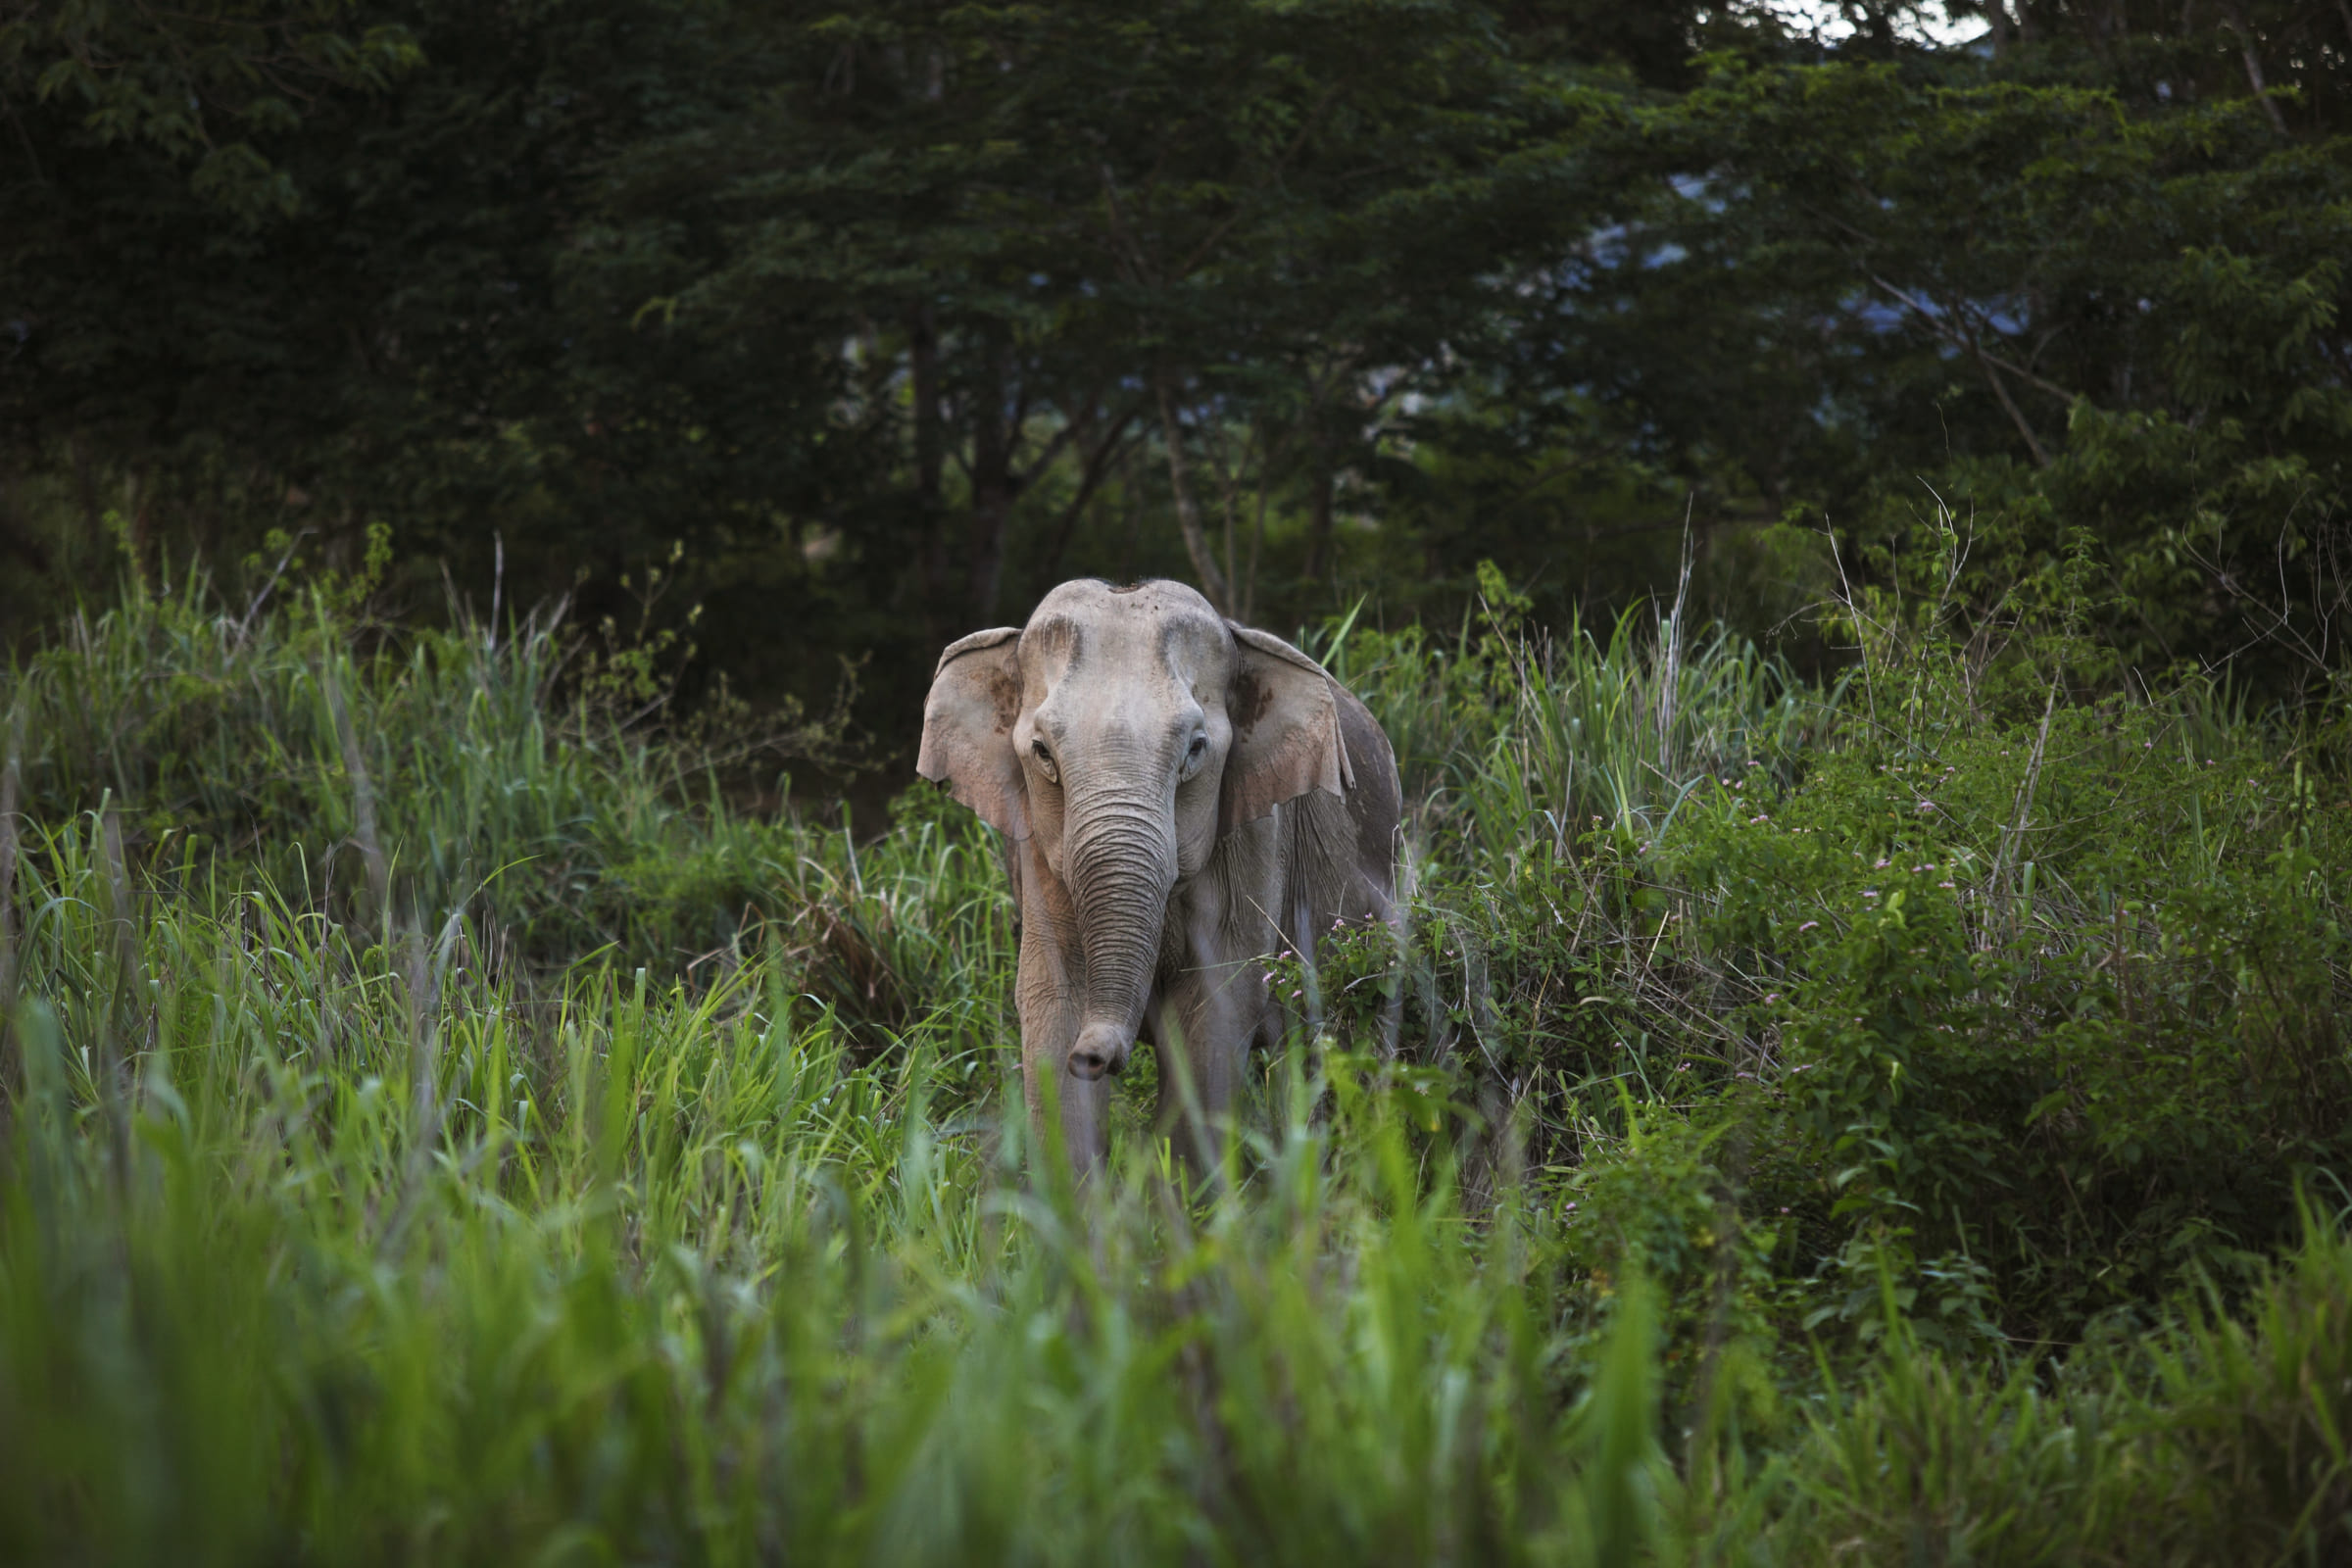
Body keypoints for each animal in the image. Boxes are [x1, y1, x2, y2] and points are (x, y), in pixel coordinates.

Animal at [918, 578, 1401, 1177]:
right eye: (1042, 753)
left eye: (1196, 749)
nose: (1092, 1057)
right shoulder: (1037, 850)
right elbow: (1053, 998)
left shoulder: (1256, 836)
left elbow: (1215, 1010)